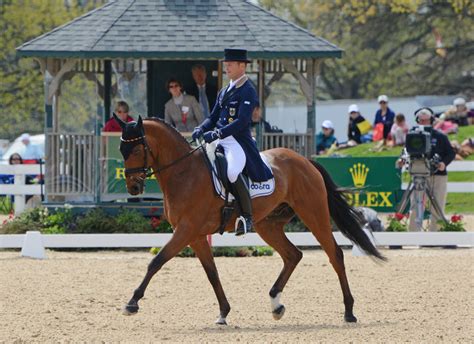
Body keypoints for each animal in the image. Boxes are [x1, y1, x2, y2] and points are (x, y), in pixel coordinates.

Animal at [115, 115, 386, 326]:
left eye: (136, 150)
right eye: (122, 151)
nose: (134, 187)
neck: (184, 172)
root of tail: (304, 160)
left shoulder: (186, 230)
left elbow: (157, 261)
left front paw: (132, 303)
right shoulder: (196, 235)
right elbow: (212, 273)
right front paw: (223, 313)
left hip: (314, 213)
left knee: (334, 255)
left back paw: (349, 312)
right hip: (268, 225)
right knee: (293, 255)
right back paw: (276, 304)